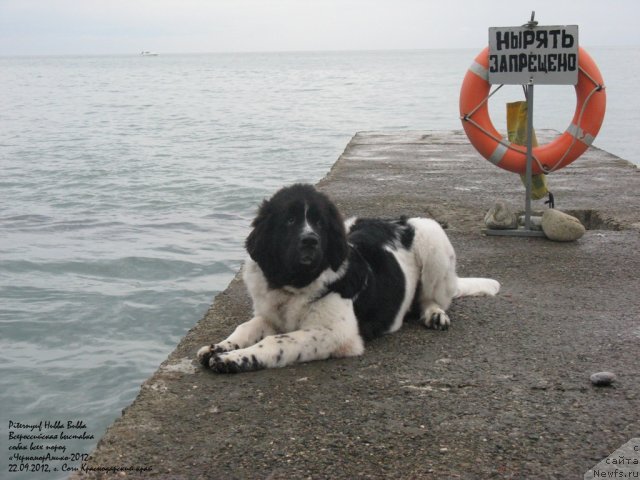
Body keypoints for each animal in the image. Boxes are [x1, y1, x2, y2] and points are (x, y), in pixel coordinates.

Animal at [198, 183, 498, 372]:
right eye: (289, 220)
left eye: (319, 222)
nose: (310, 240)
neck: (295, 283)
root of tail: (397, 221)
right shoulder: (270, 316)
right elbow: (246, 328)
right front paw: (220, 347)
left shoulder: (337, 333)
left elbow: (277, 341)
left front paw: (231, 359)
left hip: (432, 234)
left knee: (431, 299)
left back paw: (434, 314)